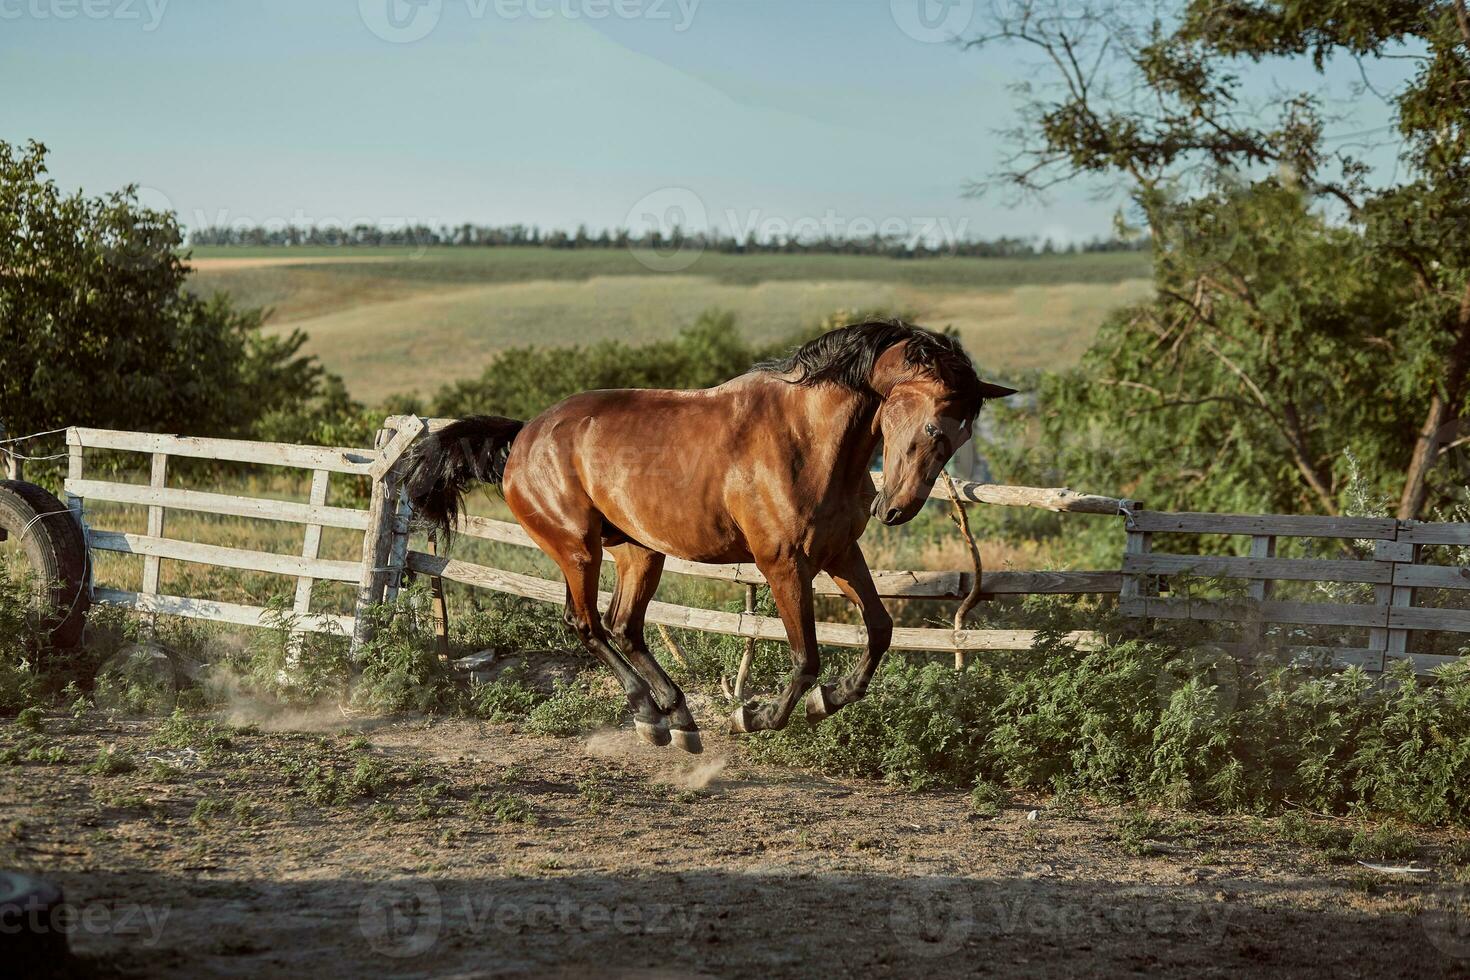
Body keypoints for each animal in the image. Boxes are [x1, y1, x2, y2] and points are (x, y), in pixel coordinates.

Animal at [408, 326, 1017, 758]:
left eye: (964, 434)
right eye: (936, 428)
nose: (894, 510)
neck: (807, 439)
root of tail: (524, 436)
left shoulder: (840, 554)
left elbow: (881, 630)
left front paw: (827, 702)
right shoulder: (783, 564)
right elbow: (806, 657)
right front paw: (755, 717)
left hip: (639, 551)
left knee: (625, 627)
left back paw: (676, 721)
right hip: (578, 550)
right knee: (586, 624)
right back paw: (650, 716)